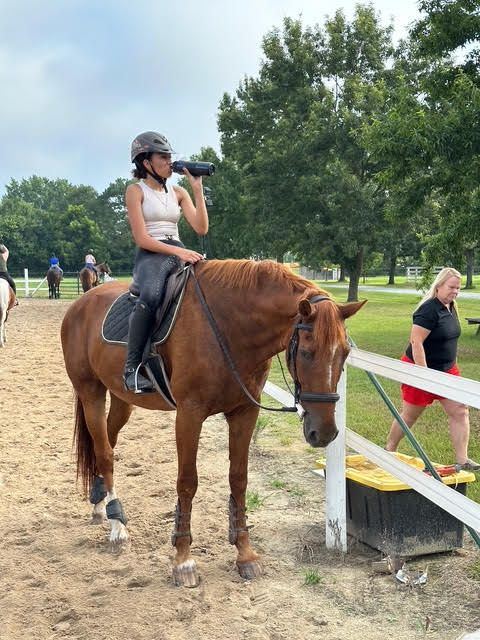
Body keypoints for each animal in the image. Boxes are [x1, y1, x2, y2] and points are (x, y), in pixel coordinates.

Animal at [61, 259, 365, 587]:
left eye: (345, 353)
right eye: (307, 353)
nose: (325, 433)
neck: (230, 328)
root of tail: (80, 303)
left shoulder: (245, 412)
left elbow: (239, 479)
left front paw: (245, 554)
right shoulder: (189, 415)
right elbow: (187, 482)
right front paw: (183, 560)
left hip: (121, 399)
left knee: (105, 442)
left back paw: (100, 506)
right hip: (90, 392)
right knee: (105, 453)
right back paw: (118, 528)